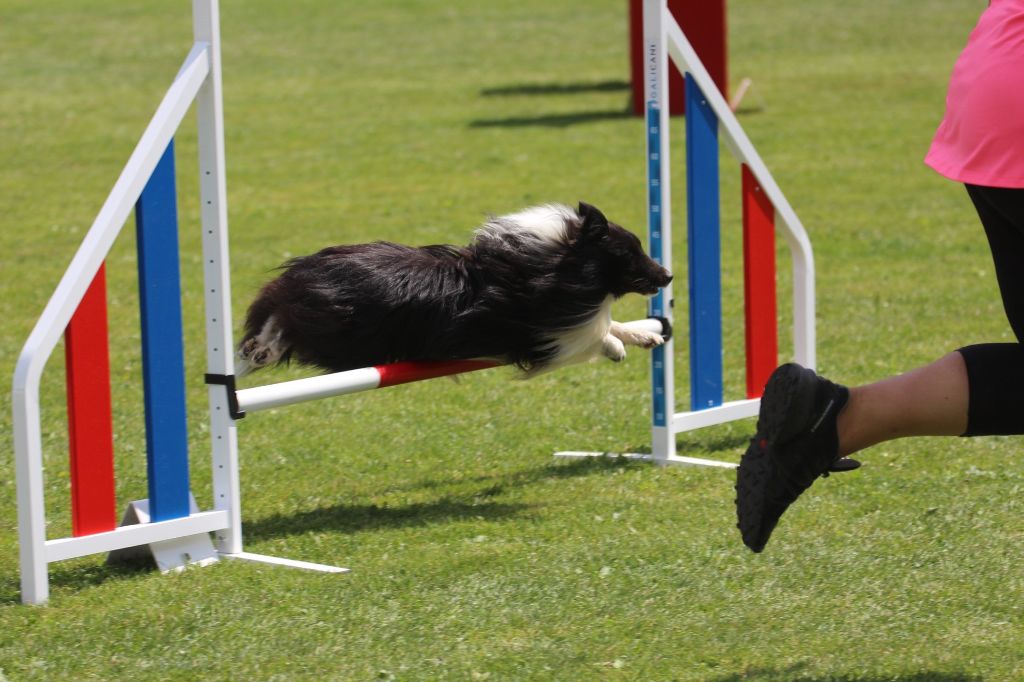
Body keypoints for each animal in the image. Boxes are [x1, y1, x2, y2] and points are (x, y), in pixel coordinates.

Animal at [238, 200, 671, 376]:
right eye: (630, 252)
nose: (667, 275)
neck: (556, 261)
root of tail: (297, 273)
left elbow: (609, 323)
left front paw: (645, 335)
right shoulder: (537, 335)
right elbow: (591, 334)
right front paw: (614, 347)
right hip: (339, 335)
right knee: (281, 326)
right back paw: (263, 347)